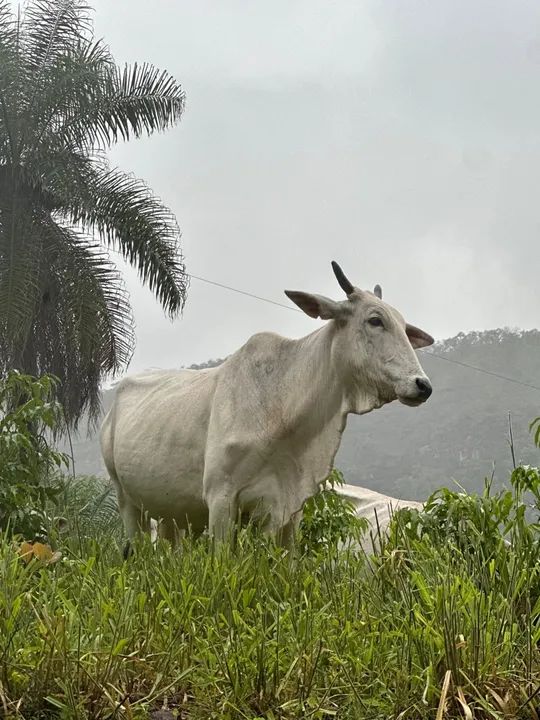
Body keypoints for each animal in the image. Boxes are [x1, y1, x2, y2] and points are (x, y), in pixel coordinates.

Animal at [100, 261, 434, 552]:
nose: (423, 385)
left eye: (404, 327)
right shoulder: (220, 498)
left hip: (170, 513)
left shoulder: (289, 508)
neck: (282, 406)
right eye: (375, 320)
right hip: (126, 499)